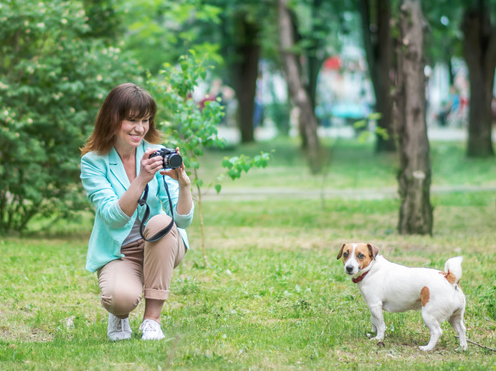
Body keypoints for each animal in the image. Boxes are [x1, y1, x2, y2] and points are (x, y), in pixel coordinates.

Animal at [336, 244, 466, 352]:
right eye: (345, 253)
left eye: (361, 255)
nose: (349, 267)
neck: (371, 269)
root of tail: (450, 278)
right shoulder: (373, 307)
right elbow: (374, 321)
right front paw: (372, 333)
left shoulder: (375, 305)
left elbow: (381, 325)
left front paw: (378, 338)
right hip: (455, 317)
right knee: (462, 330)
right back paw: (462, 348)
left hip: (428, 315)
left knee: (437, 332)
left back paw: (427, 348)